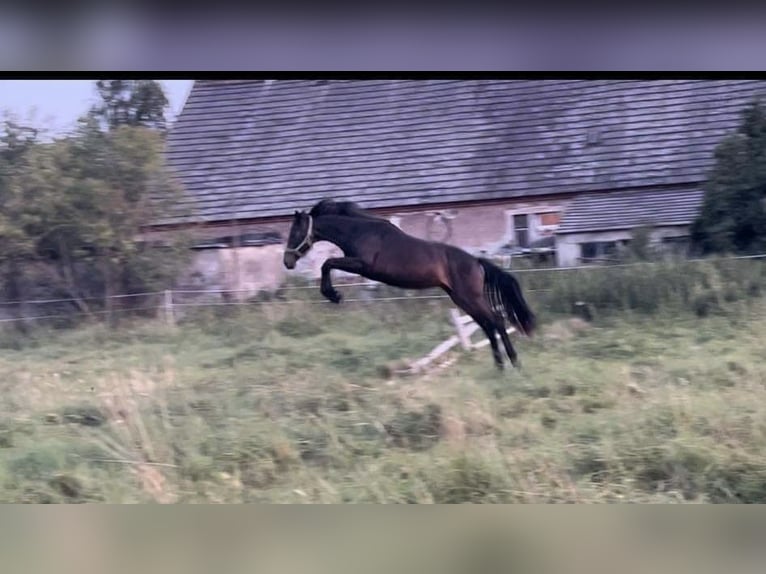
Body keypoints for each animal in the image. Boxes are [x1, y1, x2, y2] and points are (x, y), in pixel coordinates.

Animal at [284, 200, 540, 372]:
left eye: (295, 232)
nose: (287, 262)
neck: (361, 232)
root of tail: (476, 262)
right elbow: (327, 264)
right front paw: (333, 294)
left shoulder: (362, 265)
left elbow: (327, 263)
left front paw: (333, 295)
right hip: (461, 299)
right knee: (488, 325)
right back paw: (499, 366)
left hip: (471, 297)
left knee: (496, 321)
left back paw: (513, 363)